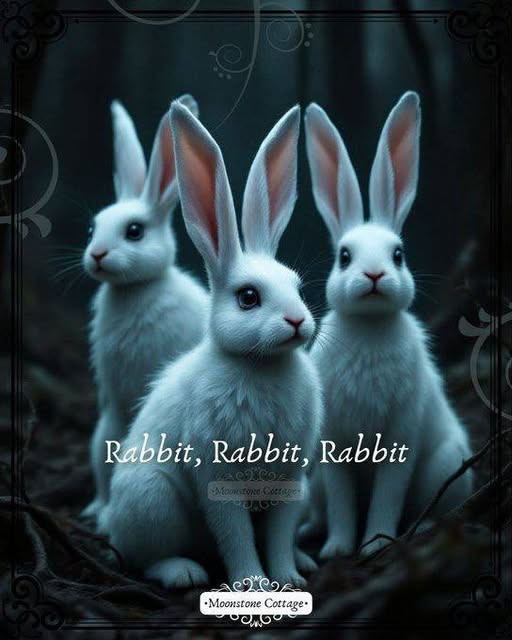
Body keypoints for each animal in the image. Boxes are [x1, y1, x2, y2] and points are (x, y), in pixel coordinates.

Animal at [99, 102, 323, 589]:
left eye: (297, 287)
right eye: (248, 297)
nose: (298, 322)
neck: (260, 365)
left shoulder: (290, 480)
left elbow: (278, 534)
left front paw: (288, 578)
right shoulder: (216, 476)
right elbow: (236, 534)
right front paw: (253, 584)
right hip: (153, 499)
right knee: (141, 556)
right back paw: (182, 572)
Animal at [303, 92, 473, 558]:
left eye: (398, 254)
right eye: (344, 256)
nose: (375, 275)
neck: (369, 326)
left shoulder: (401, 434)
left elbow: (387, 497)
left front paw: (373, 547)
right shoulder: (335, 445)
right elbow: (343, 504)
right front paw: (338, 550)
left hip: (446, 466)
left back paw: (425, 526)